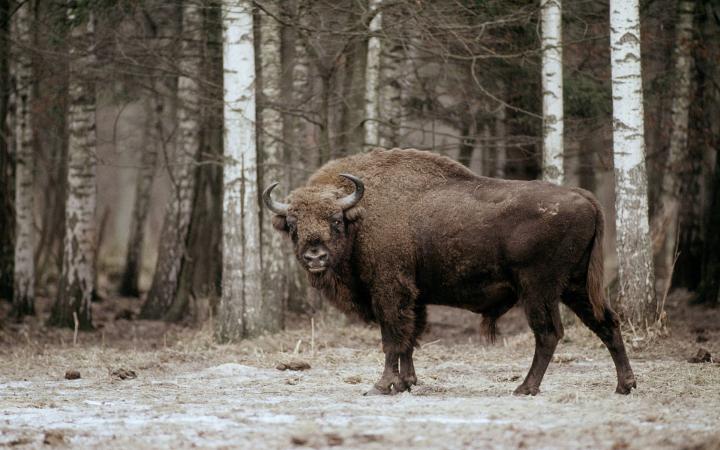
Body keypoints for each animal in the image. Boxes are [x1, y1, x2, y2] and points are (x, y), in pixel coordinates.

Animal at [264, 148, 636, 394]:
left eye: (335, 221)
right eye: (293, 224)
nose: (315, 255)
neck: (362, 213)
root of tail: (584, 197)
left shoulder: (389, 291)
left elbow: (392, 338)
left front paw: (382, 385)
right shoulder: (414, 297)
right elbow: (410, 339)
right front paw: (407, 382)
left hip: (539, 289)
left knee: (548, 333)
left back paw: (524, 388)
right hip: (575, 286)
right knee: (607, 324)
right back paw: (625, 385)